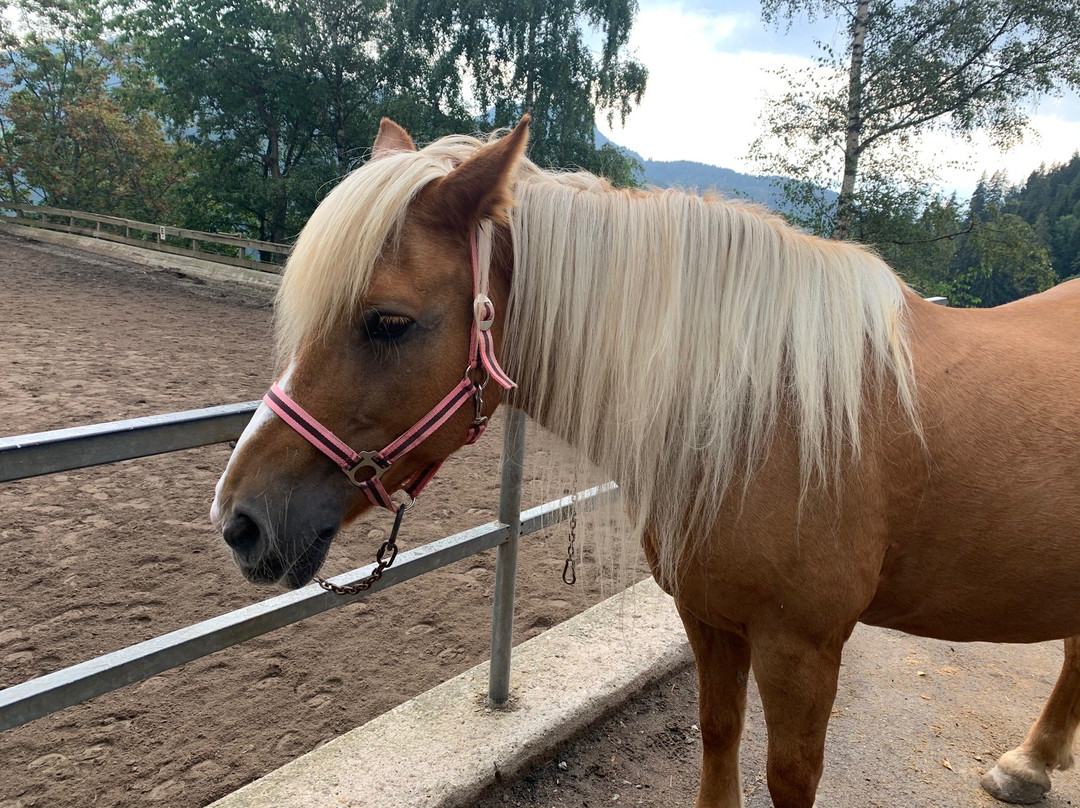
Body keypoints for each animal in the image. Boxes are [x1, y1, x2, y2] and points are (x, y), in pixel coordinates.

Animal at [210, 116, 1080, 807]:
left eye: (388, 321)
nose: (239, 521)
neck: (767, 409)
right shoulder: (709, 616)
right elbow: (718, 735)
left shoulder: (802, 648)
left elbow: (788, 776)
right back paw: (1031, 764)